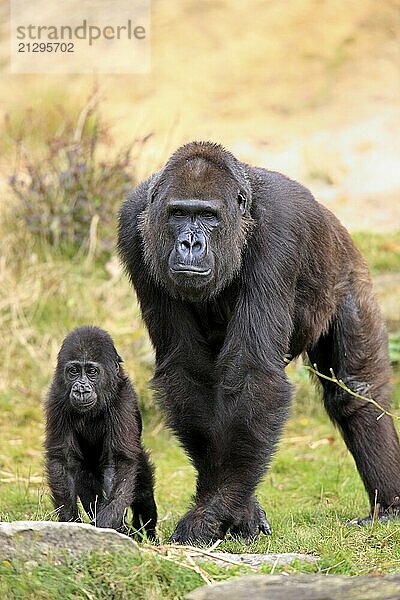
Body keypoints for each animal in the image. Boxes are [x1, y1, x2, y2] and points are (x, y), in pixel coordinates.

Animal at [44, 326, 156, 536]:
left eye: (92, 371)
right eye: (73, 371)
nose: (81, 390)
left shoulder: (123, 401)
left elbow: (118, 463)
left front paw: (106, 525)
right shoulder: (56, 399)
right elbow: (62, 459)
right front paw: (71, 522)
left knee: (142, 487)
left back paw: (146, 531)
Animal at [118, 141, 400, 544]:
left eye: (208, 216)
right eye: (178, 213)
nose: (189, 243)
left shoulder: (281, 232)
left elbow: (253, 374)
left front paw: (212, 510)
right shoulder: (132, 228)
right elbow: (189, 373)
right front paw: (233, 508)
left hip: (349, 276)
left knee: (356, 392)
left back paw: (389, 505)